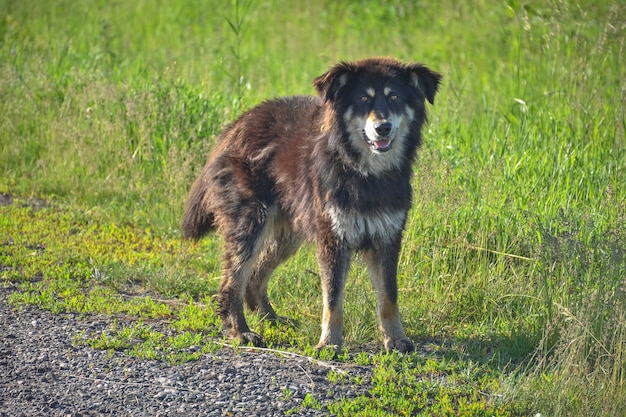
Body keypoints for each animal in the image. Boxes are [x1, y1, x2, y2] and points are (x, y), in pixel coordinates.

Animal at [183, 57, 442, 352]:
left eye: (395, 97)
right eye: (363, 98)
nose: (383, 128)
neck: (363, 171)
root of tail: (236, 125)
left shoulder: (387, 237)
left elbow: (389, 296)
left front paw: (397, 339)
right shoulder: (333, 238)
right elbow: (333, 298)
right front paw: (329, 343)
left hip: (287, 233)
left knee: (256, 276)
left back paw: (271, 318)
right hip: (250, 224)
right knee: (232, 282)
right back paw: (240, 331)